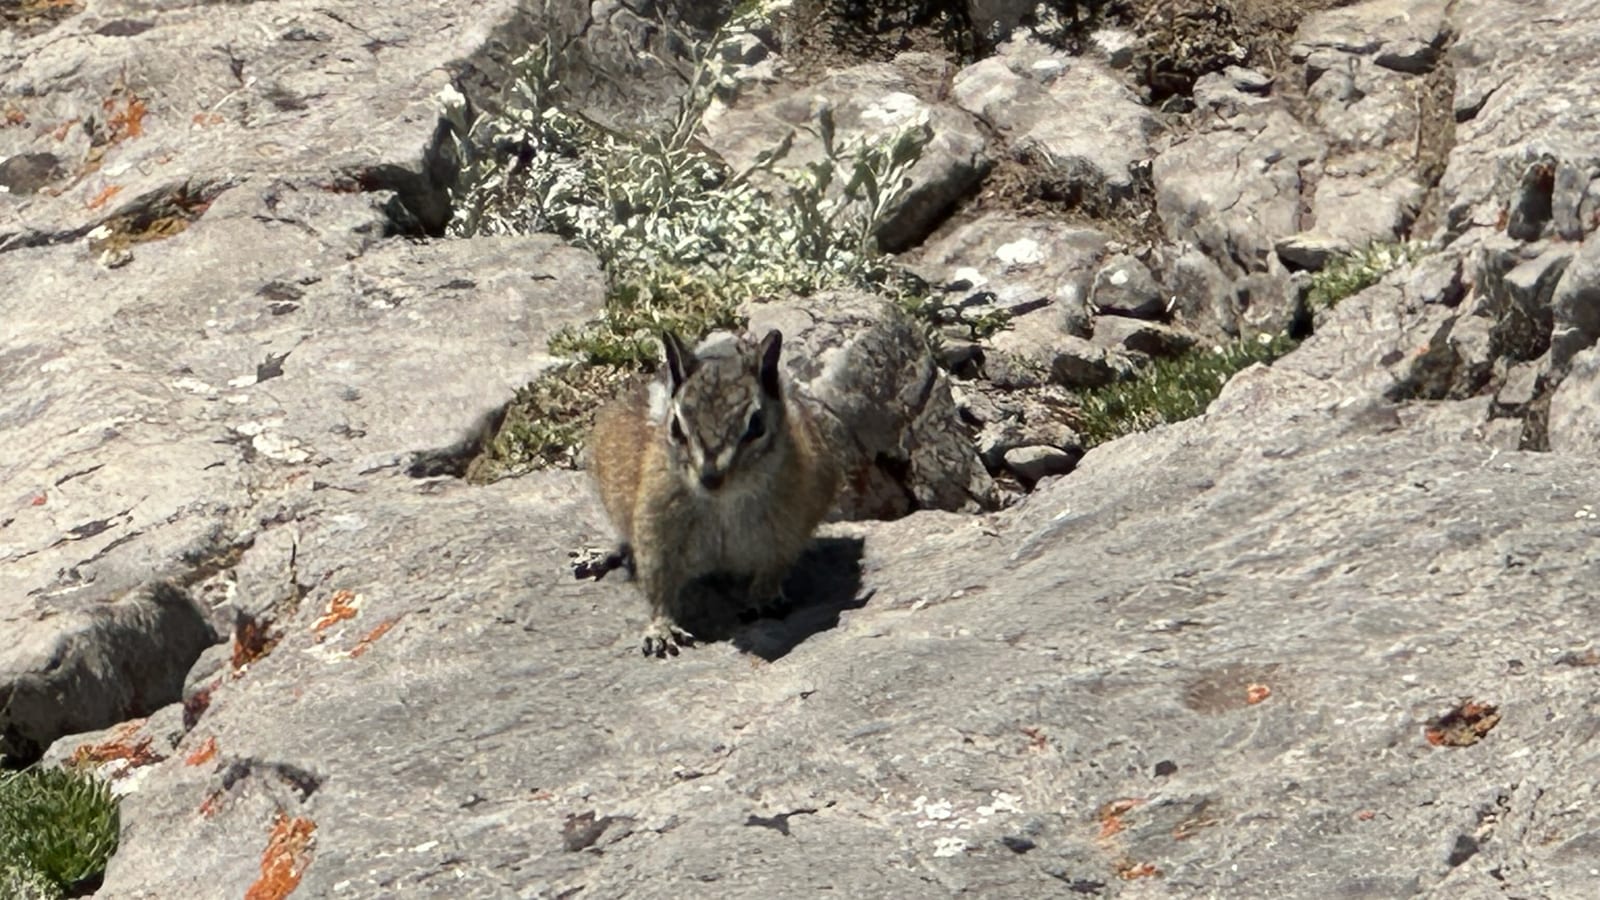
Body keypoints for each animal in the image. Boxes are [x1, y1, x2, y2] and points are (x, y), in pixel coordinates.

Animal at [586, 328, 840, 657]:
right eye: (676, 426)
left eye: (756, 426)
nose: (710, 477)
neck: (724, 503)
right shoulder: (655, 531)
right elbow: (658, 585)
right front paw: (661, 629)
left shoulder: (788, 532)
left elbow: (773, 568)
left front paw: (764, 598)